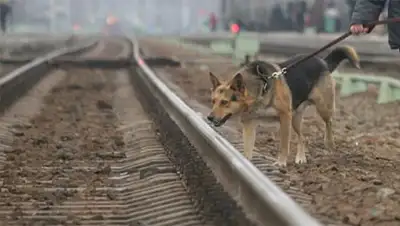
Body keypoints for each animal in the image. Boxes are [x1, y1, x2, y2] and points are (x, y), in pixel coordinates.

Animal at [208, 45, 360, 166]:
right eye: (213, 101)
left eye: (225, 102)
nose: (209, 118)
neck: (258, 89)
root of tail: (322, 61)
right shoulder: (249, 123)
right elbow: (247, 148)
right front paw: (247, 164)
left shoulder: (285, 116)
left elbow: (284, 144)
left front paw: (281, 162)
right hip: (295, 119)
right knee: (303, 137)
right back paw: (301, 158)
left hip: (322, 107)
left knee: (329, 122)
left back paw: (329, 143)